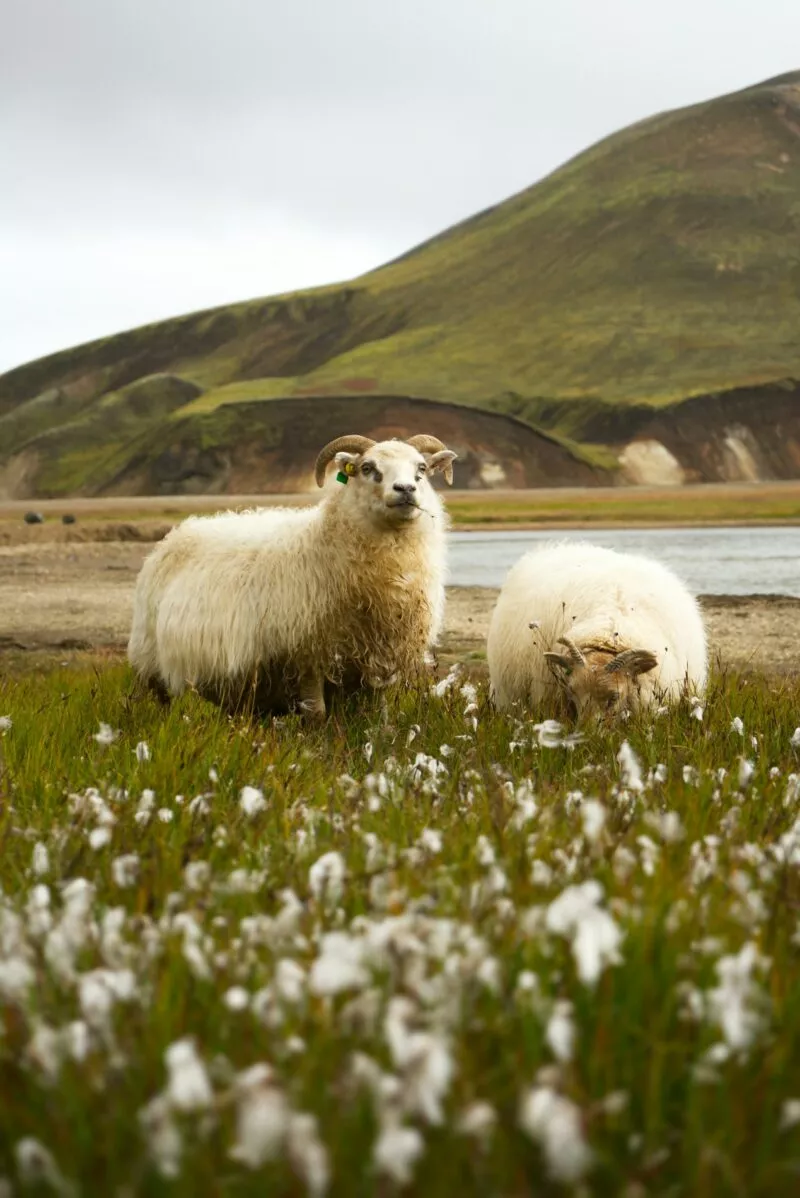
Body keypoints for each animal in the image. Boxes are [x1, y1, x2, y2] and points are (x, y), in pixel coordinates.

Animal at [128, 436, 459, 714]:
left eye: (421, 469)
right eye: (368, 468)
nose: (406, 490)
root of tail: (177, 532)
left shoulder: (378, 660)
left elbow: (377, 714)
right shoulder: (307, 656)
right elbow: (317, 714)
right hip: (152, 663)